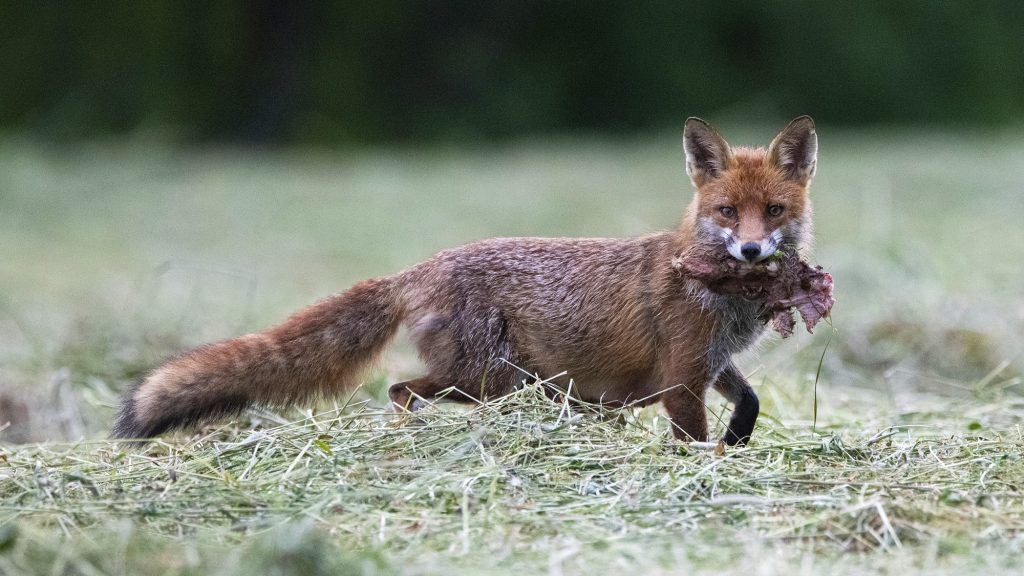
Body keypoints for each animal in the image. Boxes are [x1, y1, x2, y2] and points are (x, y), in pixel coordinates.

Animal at [113, 116, 818, 446]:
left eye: (772, 210)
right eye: (726, 212)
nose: (751, 248)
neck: (723, 298)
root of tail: (420, 267)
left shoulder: (711, 364)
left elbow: (751, 403)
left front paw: (737, 442)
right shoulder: (680, 379)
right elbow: (691, 442)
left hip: (489, 380)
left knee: (404, 388)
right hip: (486, 378)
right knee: (400, 388)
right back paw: (410, 435)